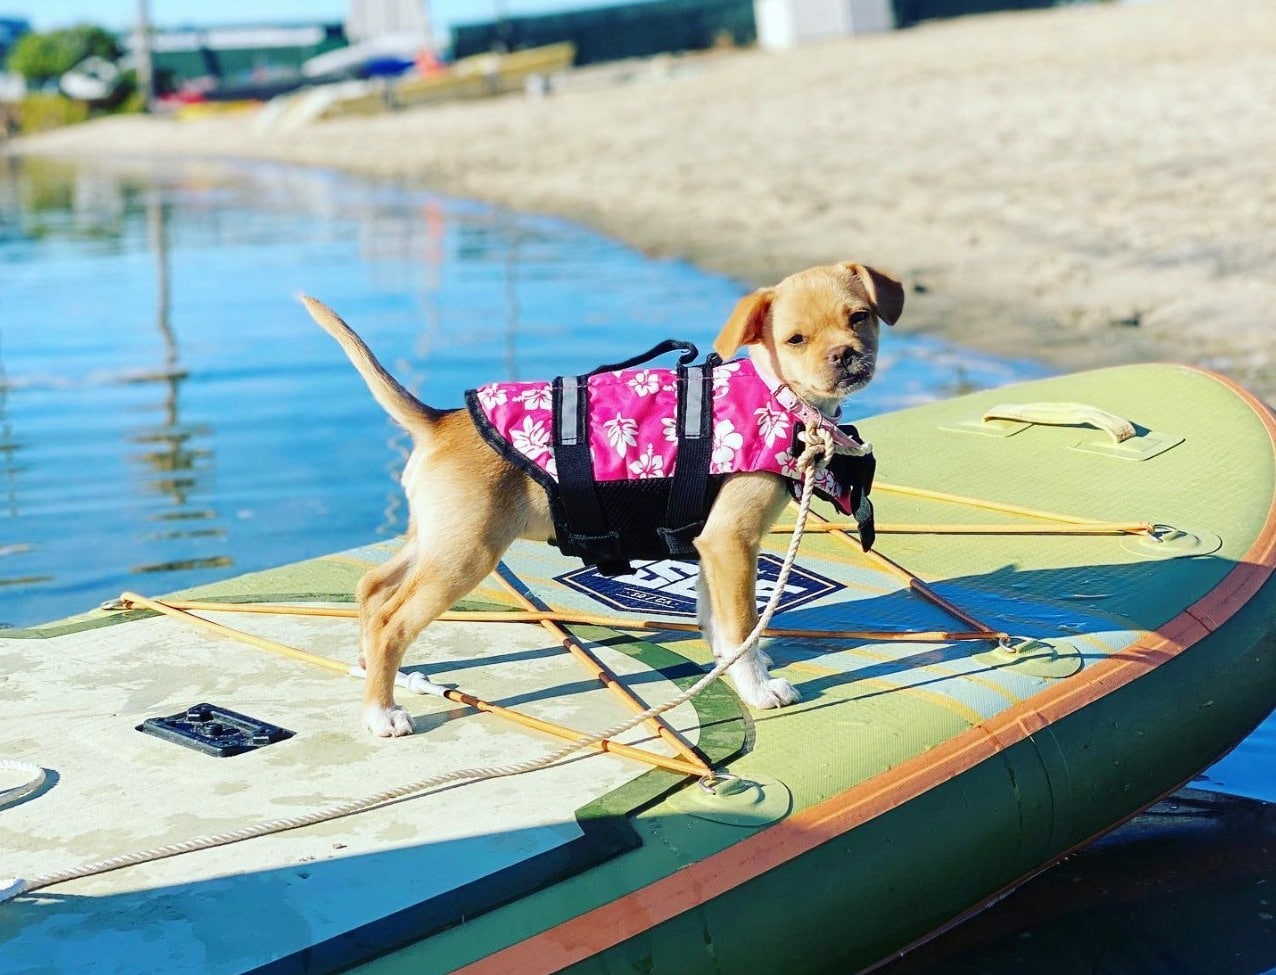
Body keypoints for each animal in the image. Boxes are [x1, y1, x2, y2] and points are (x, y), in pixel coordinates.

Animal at [302, 262, 903, 735]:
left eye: (860, 317)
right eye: (795, 339)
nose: (846, 356)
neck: (782, 399)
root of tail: (440, 421)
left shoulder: (708, 544)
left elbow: (716, 616)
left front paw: (726, 663)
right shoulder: (731, 540)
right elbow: (740, 624)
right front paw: (756, 687)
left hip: (434, 541)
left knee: (372, 588)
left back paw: (369, 669)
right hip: (465, 556)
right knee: (393, 622)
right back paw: (381, 713)